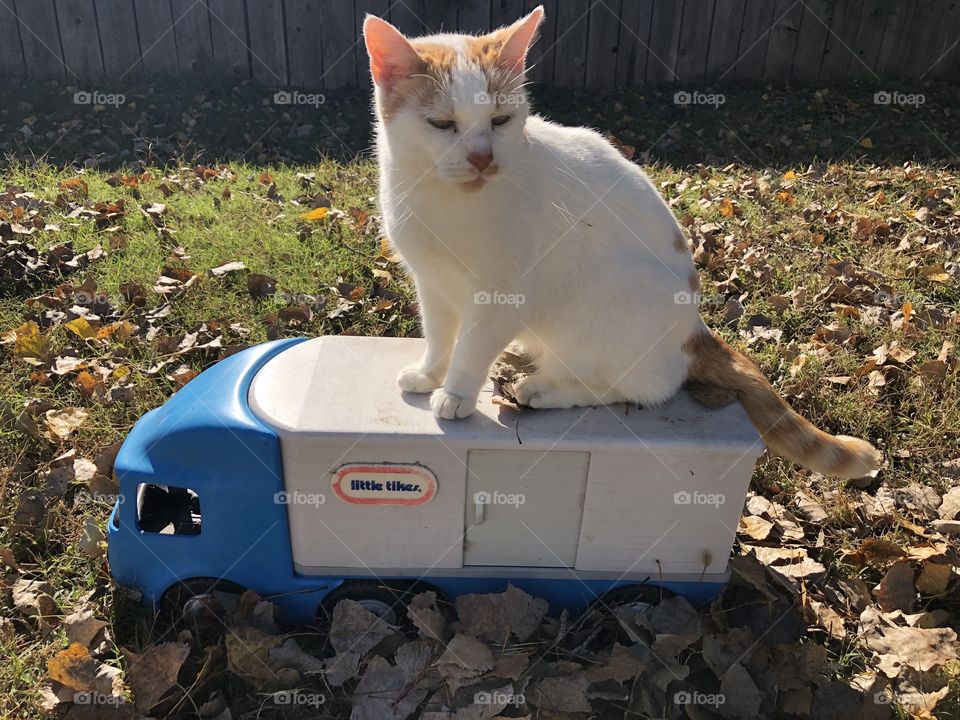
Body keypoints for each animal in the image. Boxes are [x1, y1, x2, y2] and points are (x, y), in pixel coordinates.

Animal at [364, 7, 880, 478]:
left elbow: (471, 348)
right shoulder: (432, 283)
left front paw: (455, 393)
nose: (481, 158)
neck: (442, 201)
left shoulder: (501, 296)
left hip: (604, 299)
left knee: (640, 388)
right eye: (442, 124)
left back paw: (545, 388)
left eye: (500, 120)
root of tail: (696, 329)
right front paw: (430, 373)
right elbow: (439, 336)